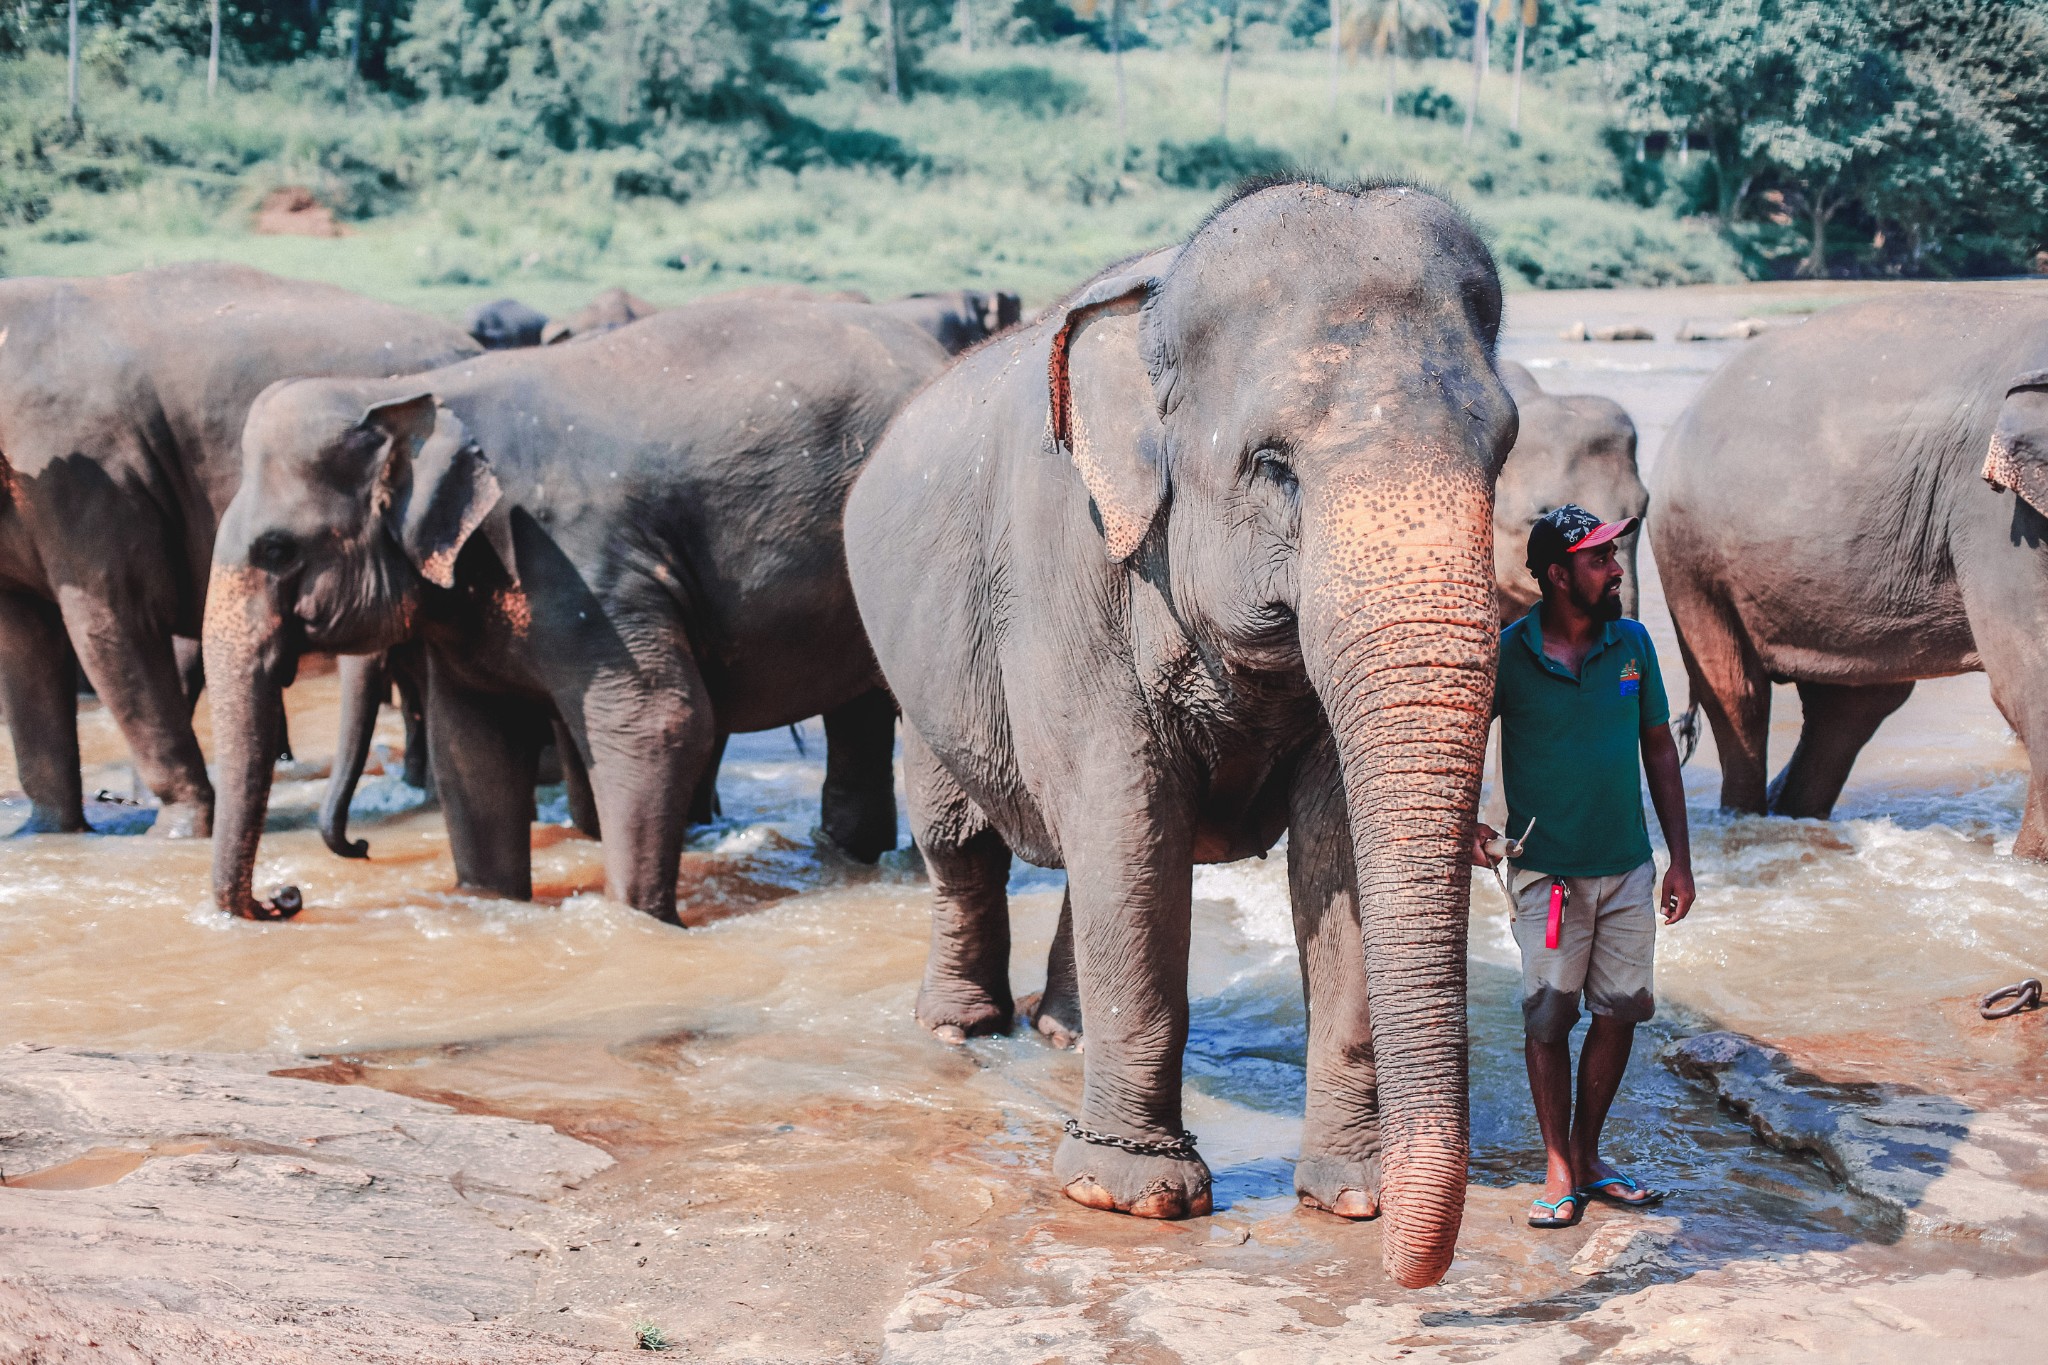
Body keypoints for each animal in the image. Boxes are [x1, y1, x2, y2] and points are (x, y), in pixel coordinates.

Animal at [207, 296, 942, 916]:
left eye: (276, 549)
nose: (287, 895)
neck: (407, 397)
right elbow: (470, 746)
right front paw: (491, 903)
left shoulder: (579, 562)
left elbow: (660, 722)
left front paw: (637, 920)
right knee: (858, 717)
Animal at [839, 175, 1515, 1285]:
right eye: (1272, 465)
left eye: (1501, 450)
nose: (1411, 1274)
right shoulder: (1066, 565)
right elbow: (1128, 810)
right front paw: (1128, 1197)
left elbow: (1331, 847)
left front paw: (1357, 1200)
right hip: (916, 666)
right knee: (960, 842)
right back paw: (958, 1032)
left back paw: (1062, 1037)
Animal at [1646, 290, 2048, 855]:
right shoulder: (1995, 515)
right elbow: (2029, 679)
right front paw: (2027, 865)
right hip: (1688, 555)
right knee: (1739, 695)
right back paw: (1742, 822)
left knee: (1848, 710)